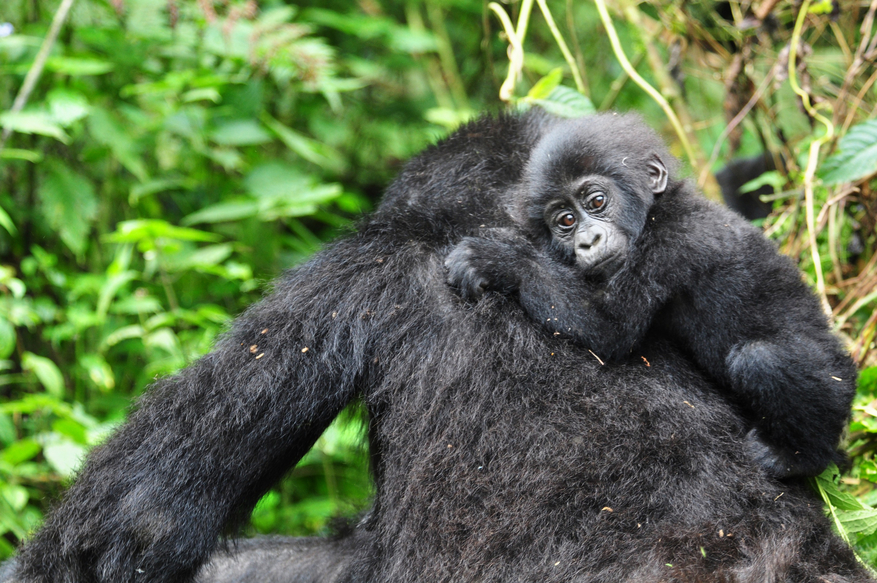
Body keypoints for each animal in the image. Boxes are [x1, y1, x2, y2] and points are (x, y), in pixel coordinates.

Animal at [444, 113, 856, 480]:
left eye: (596, 202)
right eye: (566, 221)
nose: (587, 241)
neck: (655, 209)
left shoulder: (669, 244)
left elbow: (609, 329)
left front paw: (499, 260)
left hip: (838, 387)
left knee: (762, 360)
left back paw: (799, 458)